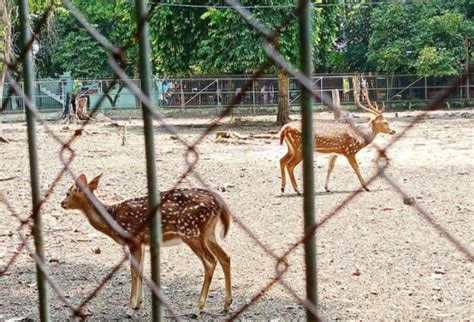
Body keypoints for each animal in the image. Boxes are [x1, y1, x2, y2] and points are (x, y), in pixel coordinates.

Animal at [61, 175, 233, 314]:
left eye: (68, 192)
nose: (62, 203)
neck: (113, 218)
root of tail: (219, 203)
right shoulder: (142, 242)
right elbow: (141, 270)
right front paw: (139, 303)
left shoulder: (134, 238)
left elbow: (133, 271)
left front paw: (130, 306)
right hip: (208, 232)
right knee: (225, 257)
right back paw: (226, 304)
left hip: (190, 232)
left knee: (210, 262)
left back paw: (198, 307)